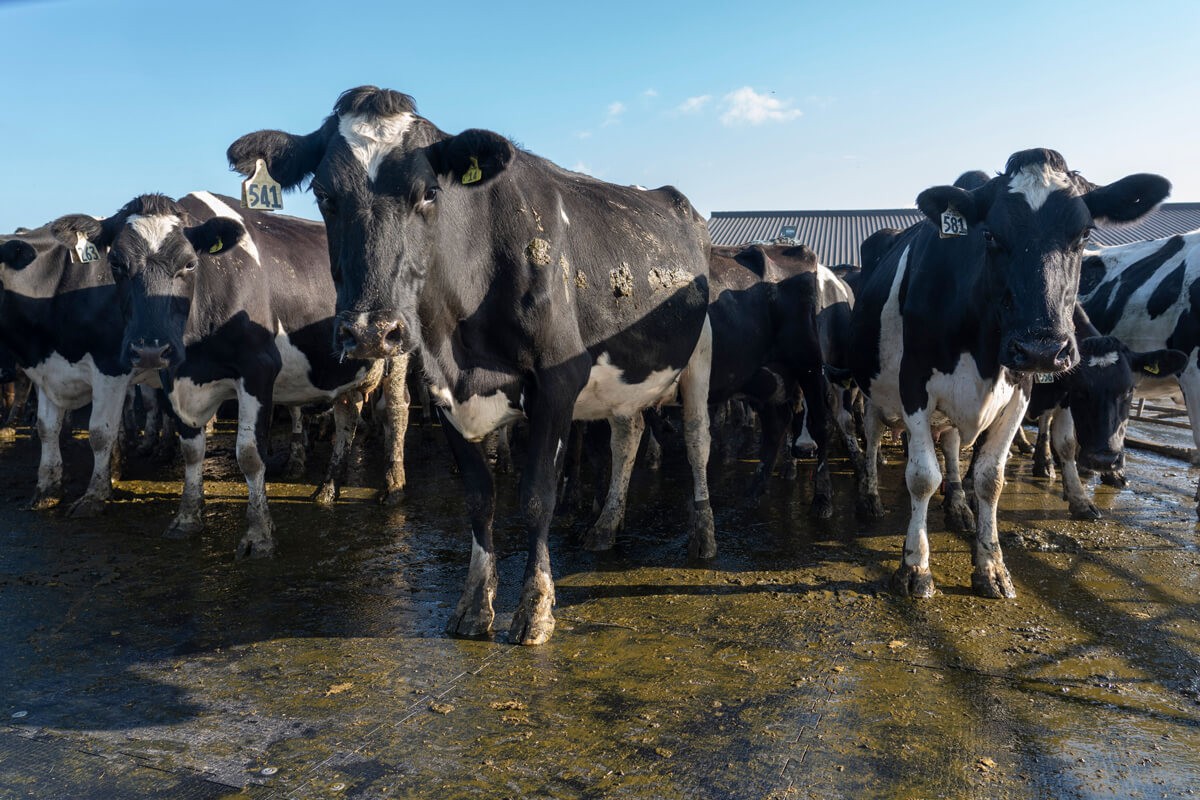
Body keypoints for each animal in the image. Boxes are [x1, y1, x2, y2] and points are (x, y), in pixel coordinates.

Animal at [0, 231, 143, 515]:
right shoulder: (47, 371)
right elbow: (46, 428)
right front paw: (47, 490)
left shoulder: (111, 367)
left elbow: (100, 433)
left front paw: (95, 495)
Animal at [51, 192, 408, 557]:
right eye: (117, 265)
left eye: (189, 264)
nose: (150, 350)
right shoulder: (176, 378)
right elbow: (191, 450)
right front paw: (187, 518)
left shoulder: (258, 370)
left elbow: (250, 455)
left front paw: (259, 534)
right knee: (347, 416)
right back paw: (327, 488)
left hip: (397, 345)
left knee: (395, 410)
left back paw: (392, 487)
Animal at [228, 86, 715, 645]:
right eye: (325, 197)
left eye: (428, 193)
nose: (371, 331)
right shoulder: (443, 391)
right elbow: (480, 498)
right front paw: (474, 603)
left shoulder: (558, 381)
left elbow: (536, 496)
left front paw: (535, 608)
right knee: (627, 435)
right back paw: (606, 526)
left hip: (700, 355)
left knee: (697, 440)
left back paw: (703, 536)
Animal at [848, 148, 1169, 599]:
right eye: (990, 235)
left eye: (1084, 234)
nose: (1042, 348)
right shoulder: (914, 385)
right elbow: (922, 475)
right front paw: (916, 566)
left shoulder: (1020, 389)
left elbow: (991, 478)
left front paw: (991, 565)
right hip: (874, 387)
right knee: (875, 434)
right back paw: (870, 497)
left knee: (951, 443)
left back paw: (959, 507)